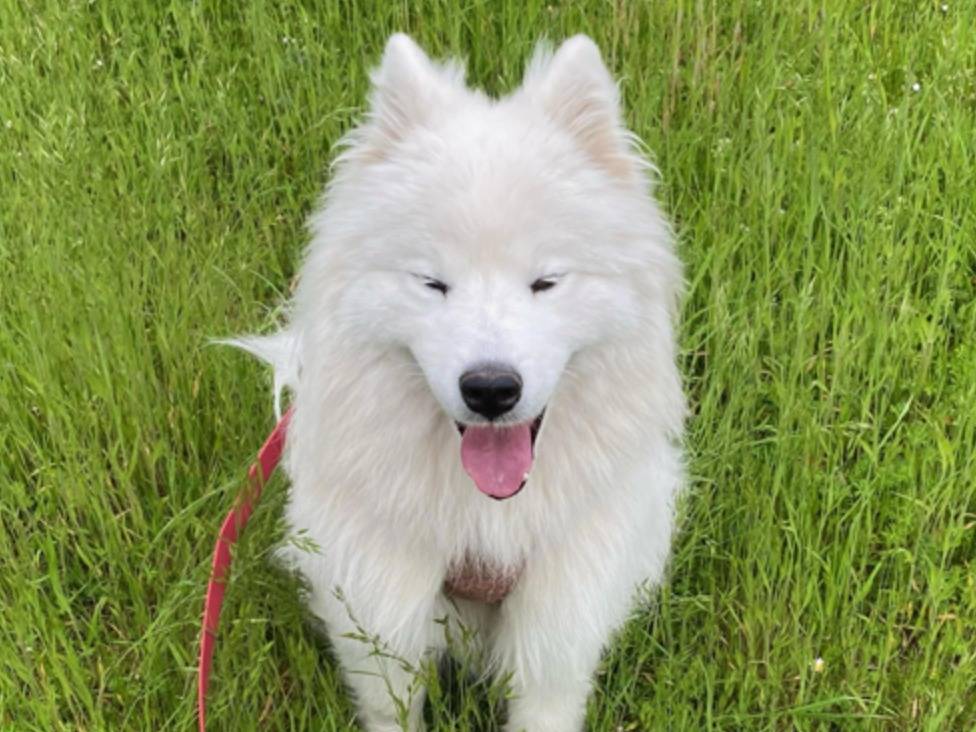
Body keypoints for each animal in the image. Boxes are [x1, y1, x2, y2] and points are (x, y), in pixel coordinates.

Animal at [236, 33, 685, 732]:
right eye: (433, 283)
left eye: (545, 282)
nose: (491, 389)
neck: (485, 520)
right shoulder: (383, 605)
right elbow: (393, 706)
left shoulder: (559, 618)